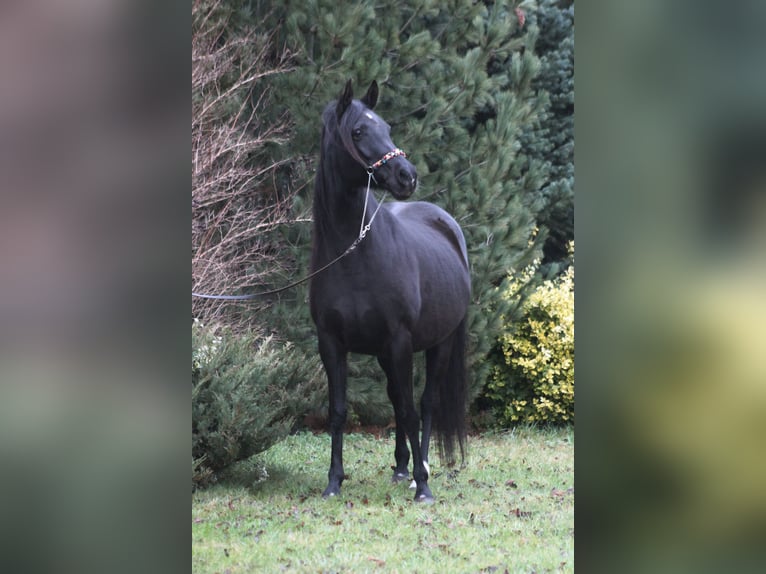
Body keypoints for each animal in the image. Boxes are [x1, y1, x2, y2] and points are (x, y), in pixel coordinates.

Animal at [308, 81, 472, 504]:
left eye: (387, 126)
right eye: (358, 131)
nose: (406, 175)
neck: (353, 255)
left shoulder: (400, 340)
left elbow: (413, 410)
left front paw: (424, 487)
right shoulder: (331, 343)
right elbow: (338, 411)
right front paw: (333, 482)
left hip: (439, 343)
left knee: (425, 404)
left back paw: (420, 471)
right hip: (386, 353)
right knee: (398, 400)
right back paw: (401, 469)